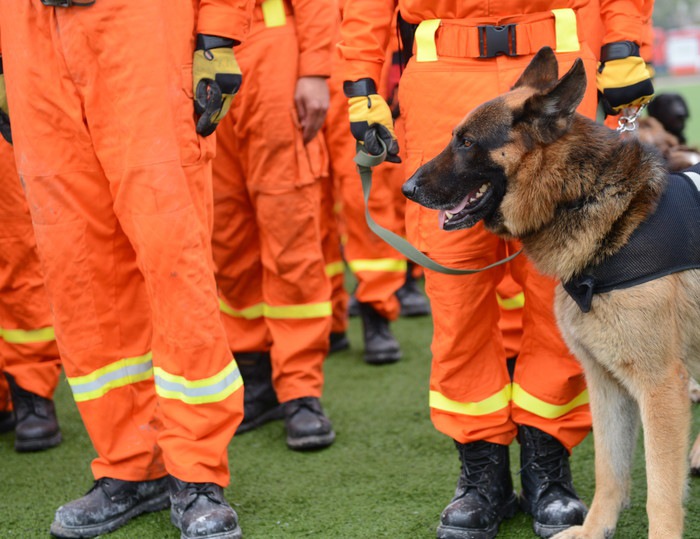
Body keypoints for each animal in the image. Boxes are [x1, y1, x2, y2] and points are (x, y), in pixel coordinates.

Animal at [402, 47, 696, 539]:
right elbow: (610, 471)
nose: (407, 188)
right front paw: (593, 531)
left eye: (467, 142)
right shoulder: (606, 385)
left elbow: (660, 495)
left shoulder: (659, 389)